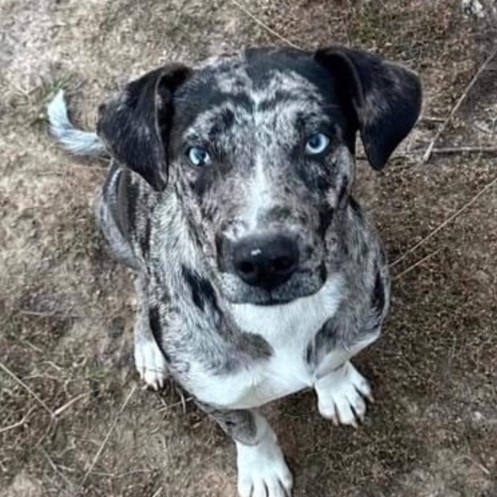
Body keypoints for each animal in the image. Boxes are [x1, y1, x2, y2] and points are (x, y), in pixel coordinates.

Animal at [46, 46, 420, 496]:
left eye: (316, 142)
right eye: (198, 154)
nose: (264, 261)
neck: (282, 317)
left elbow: (333, 358)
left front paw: (338, 386)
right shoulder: (215, 394)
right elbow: (247, 428)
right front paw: (262, 470)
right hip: (115, 229)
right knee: (141, 285)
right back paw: (149, 350)